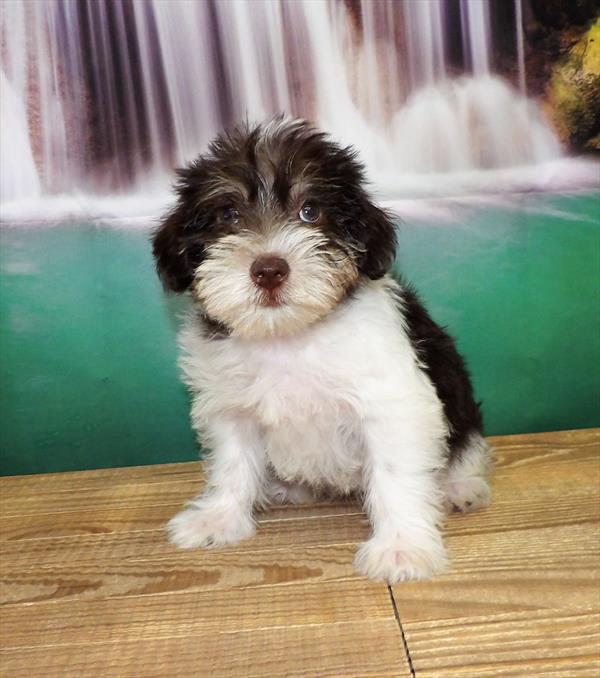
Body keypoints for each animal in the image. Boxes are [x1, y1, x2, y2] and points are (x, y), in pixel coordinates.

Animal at [151, 117, 492, 584]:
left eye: (310, 211)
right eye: (228, 214)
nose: (269, 270)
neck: (288, 336)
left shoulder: (392, 404)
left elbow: (395, 475)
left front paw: (401, 546)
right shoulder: (230, 408)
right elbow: (231, 465)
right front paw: (219, 517)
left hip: (459, 400)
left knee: (466, 448)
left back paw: (460, 487)